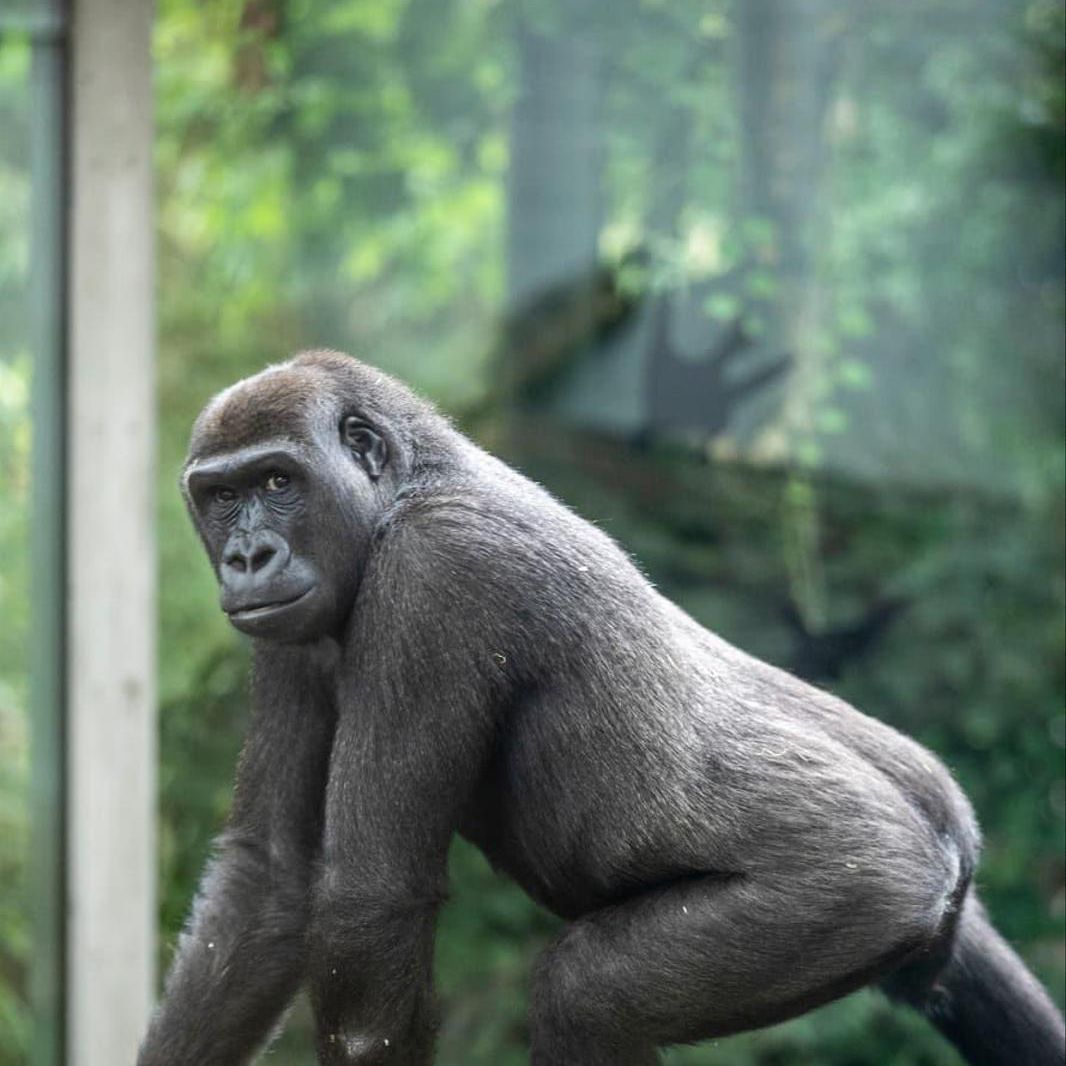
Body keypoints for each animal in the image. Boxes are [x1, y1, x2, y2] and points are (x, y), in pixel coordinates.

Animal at [138, 350, 1066, 1066]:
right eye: (221, 497)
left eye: (277, 480)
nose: (247, 558)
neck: (409, 479)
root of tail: (950, 833)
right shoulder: (289, 631)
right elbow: (268, 880)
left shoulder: (437, 569)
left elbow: (371, 904)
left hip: (869, 886)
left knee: (588, 995)